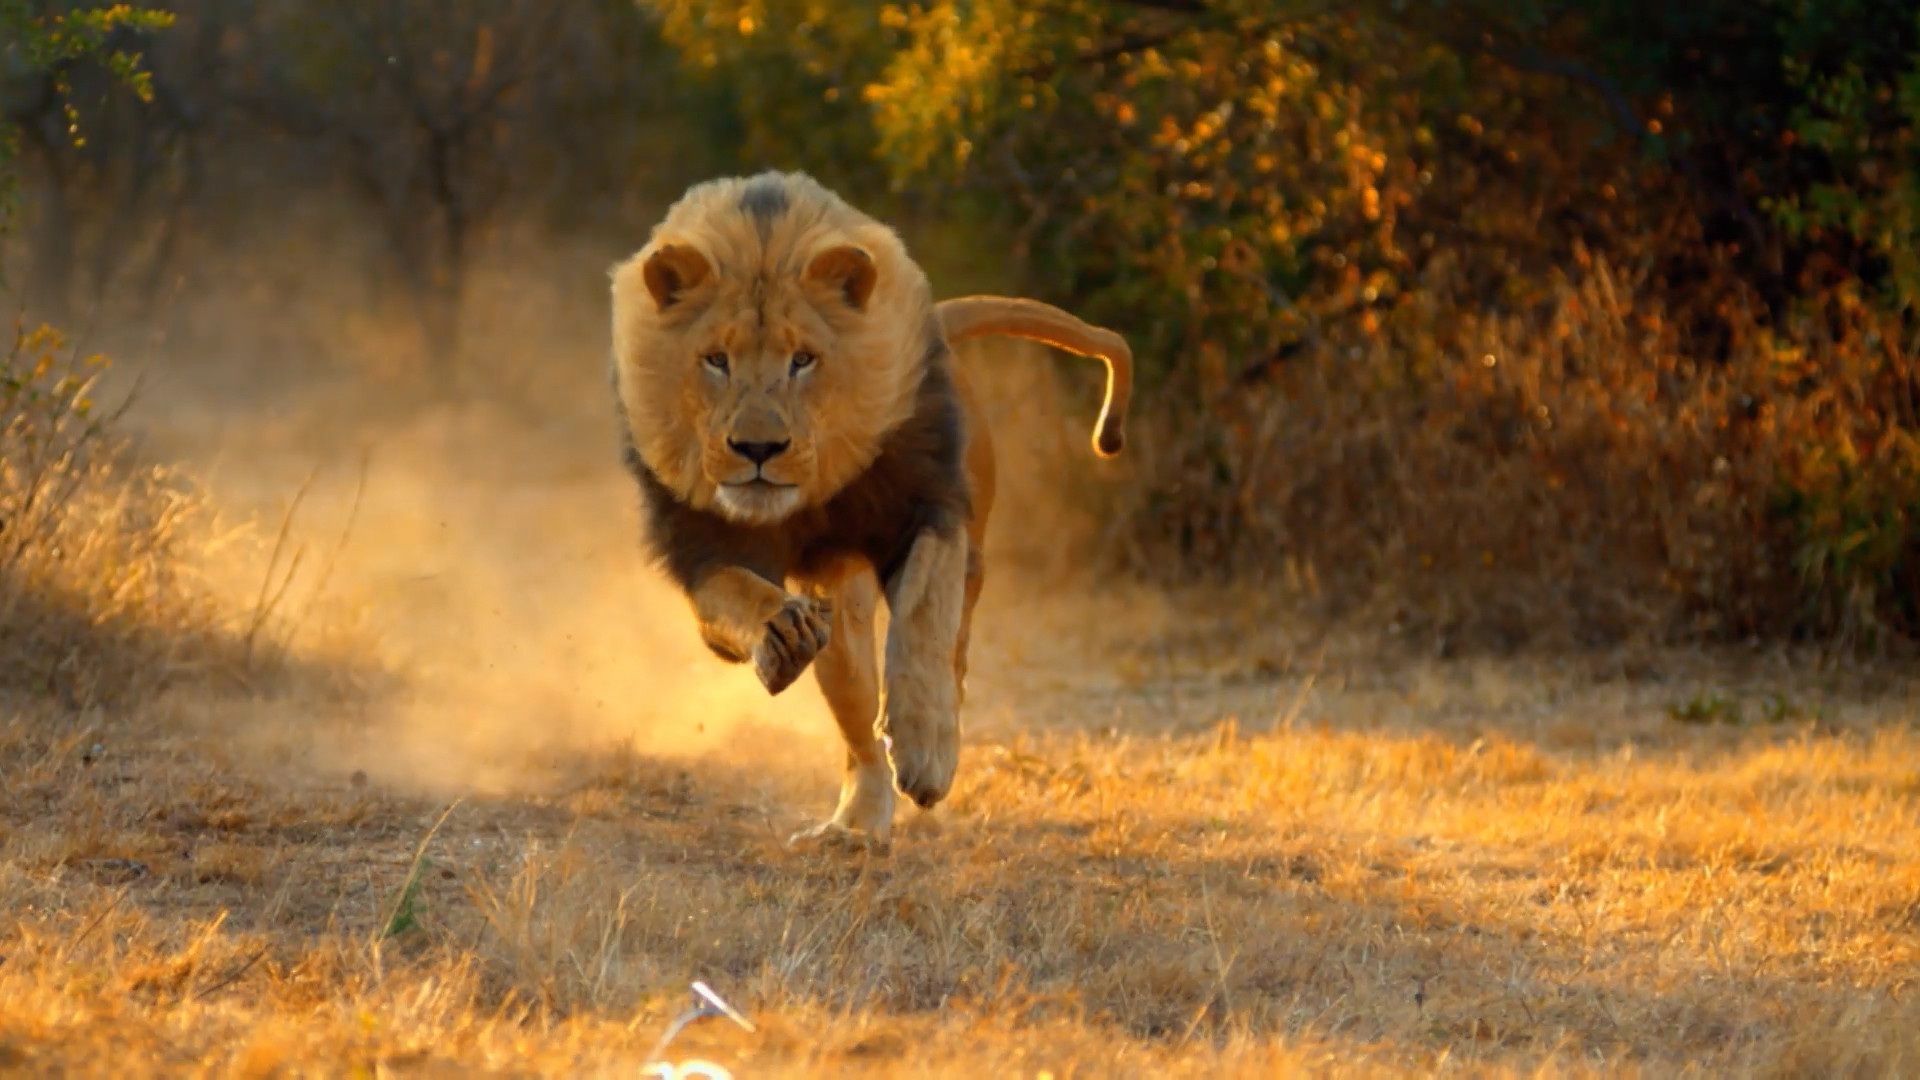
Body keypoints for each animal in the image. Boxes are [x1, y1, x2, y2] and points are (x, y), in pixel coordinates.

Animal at [609, 170, 1131, 849]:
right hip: (841, 614)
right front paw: (782, 634)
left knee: (956, 647)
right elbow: (739, 593)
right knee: (857, 733)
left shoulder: (928, 510)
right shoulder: (701, 551)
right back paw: (854, 826)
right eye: (715, 360)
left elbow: (924, 618)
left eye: (803, 359)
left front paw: (926, 749)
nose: (758, 449)